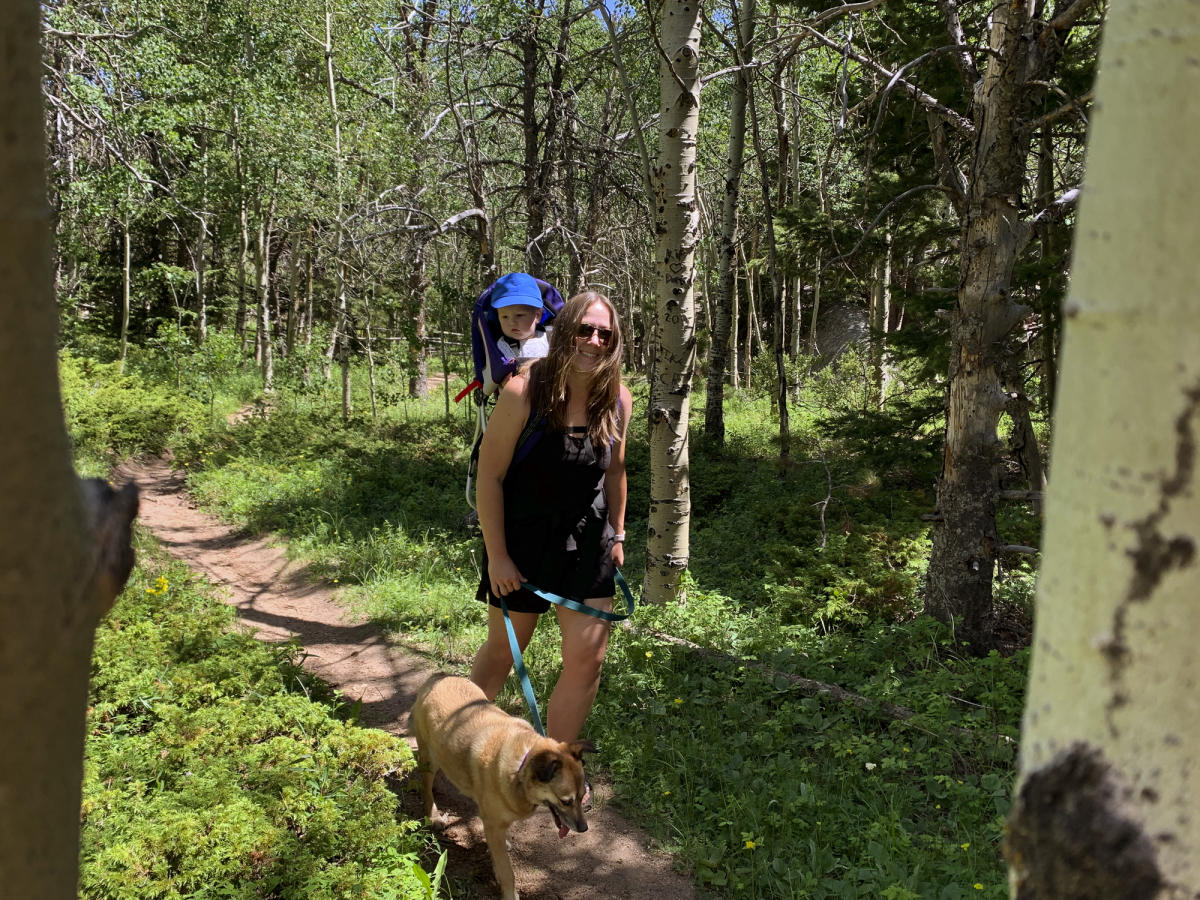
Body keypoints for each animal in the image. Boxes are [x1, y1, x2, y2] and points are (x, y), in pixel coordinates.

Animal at [410, 676, 592, 900]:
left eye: (583, 796)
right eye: (566, 801)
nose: (584, 829)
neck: (521, 766)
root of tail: (438, 676)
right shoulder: (493, 825)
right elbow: (507, 872)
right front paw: (509, 893)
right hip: (429, 758)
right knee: (425, 786)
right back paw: (433, 815)